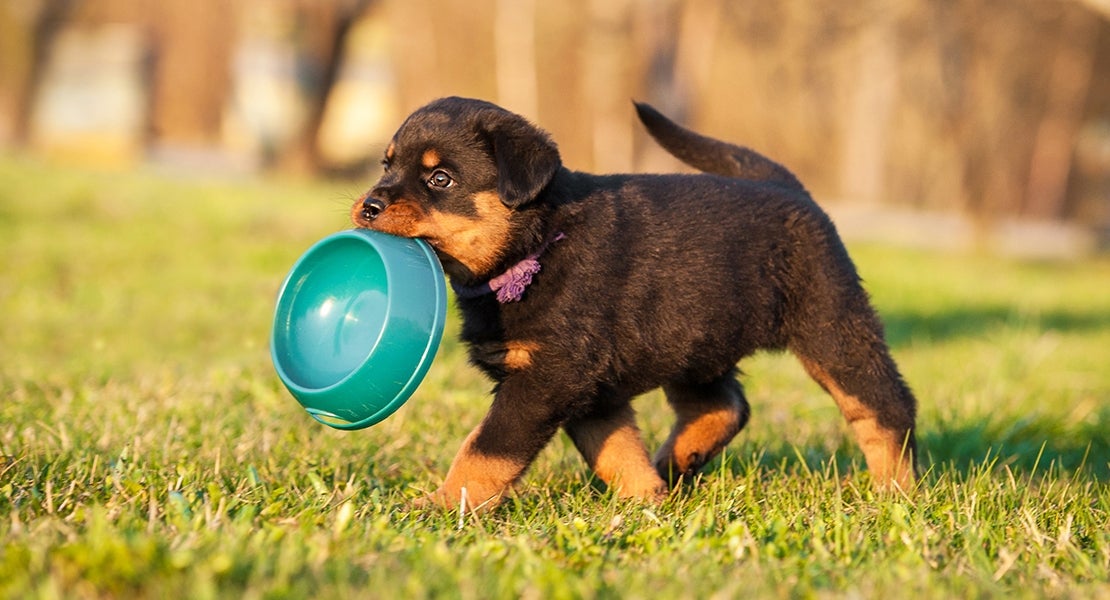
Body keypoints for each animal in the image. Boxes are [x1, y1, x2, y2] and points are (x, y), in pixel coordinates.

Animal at [350, 95, 914, 507]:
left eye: (439, 178)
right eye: (386, 165)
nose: (369, 205)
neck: (537, 244)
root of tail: (791, 188)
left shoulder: (549, 376)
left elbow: (486, 449)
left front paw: (441, 505)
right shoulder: (590, 387)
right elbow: (617, 451)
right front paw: (648, 501)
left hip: (830, 324)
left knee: (884, 406)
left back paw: (897, 492)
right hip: (697, 339)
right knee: (724, 405)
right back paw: (676, 462)